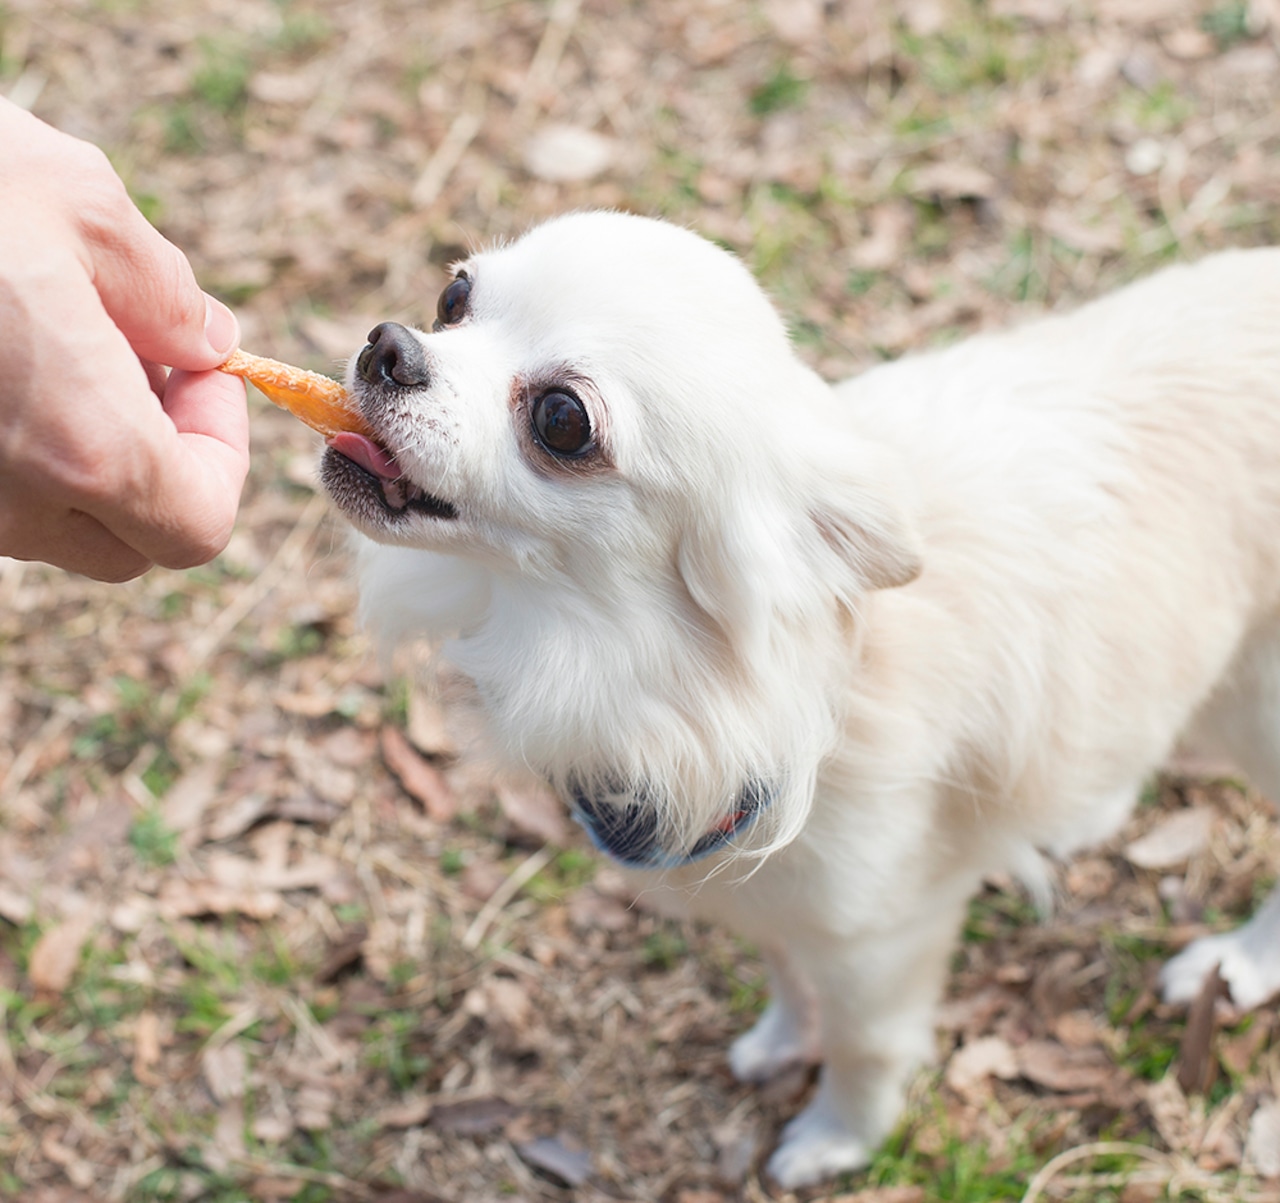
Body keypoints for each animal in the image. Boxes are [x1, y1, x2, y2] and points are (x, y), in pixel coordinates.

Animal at [322, 211, 1280, 1187]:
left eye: (562, 420)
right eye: (454, 297)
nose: (390, 346)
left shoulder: (879, 936)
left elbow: (863, 1045)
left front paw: (838, 1136)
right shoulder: (764, 889)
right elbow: (783, 965)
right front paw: (785, 1038)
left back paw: (1238, 962)